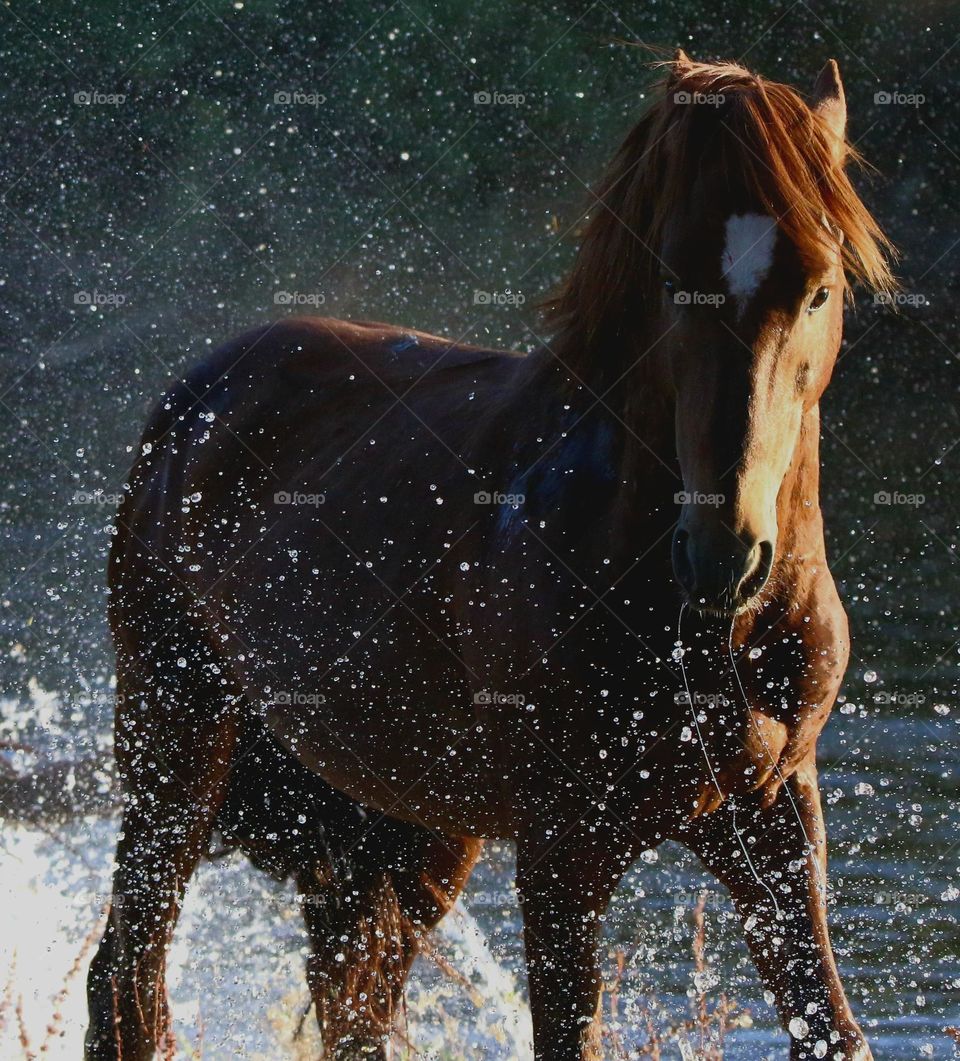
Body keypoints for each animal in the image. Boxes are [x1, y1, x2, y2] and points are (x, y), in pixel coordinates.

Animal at [86, 52, 894, 1061]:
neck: (705, 634)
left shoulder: (774, 816)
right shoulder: (562, 848)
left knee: (346, 999)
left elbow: (833, 1022)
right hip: (176, 742)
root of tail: (193, 398)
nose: (725, 555)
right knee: (129, 979)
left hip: (403, 831)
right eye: (673, 282)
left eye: (820, 287)